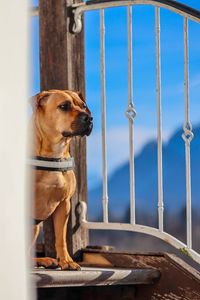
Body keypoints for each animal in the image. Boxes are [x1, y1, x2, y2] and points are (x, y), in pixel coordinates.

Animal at [30, 89, 92, 270]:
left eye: (83, 106)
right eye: (64, 106)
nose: (89, 118)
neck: (54, 153)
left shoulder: (64, 204)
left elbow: (61, 238)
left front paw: (66, 261)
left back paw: (43, 260)